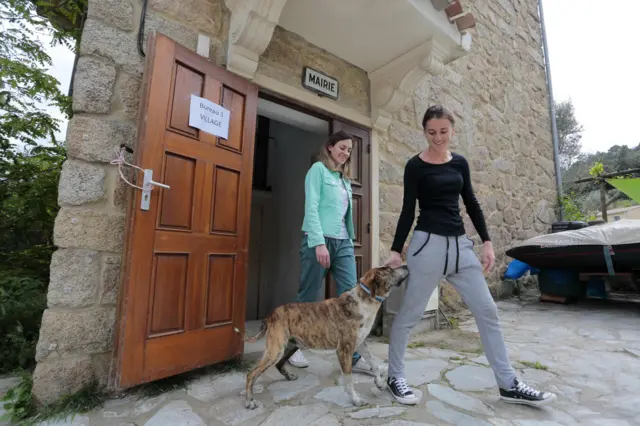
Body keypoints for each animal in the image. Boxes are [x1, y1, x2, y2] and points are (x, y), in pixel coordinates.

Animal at [242, 266, 408, 410]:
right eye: (389, 270)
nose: (406, 266)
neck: (364, 300)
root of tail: (271, 314)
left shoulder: (360, 344)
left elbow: (374, 363)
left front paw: (379, 382)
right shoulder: (344, 350)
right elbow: (349, 380)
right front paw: (355, 399)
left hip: (290, 346)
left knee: (279, 364)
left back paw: (289, 376)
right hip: (275, 350)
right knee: (251, 374)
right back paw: (249, 401)